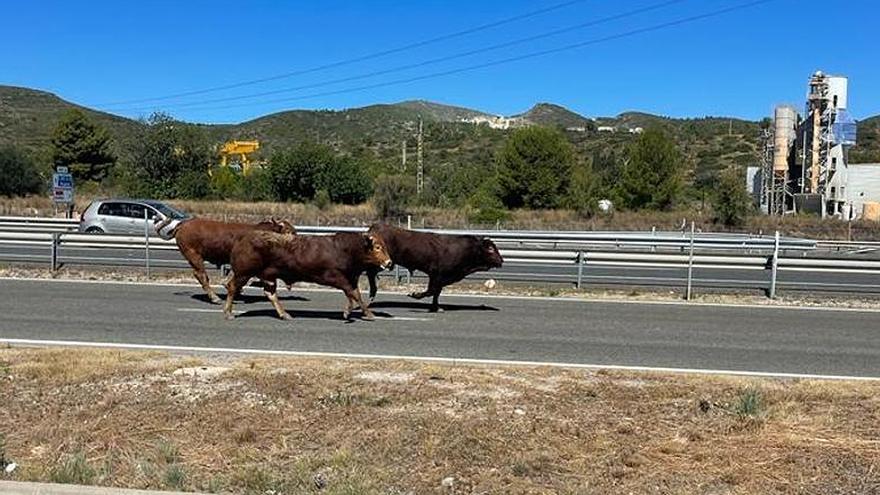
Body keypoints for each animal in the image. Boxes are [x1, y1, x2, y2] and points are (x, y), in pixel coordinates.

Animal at [225, 232, 390, 322]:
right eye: (377, 247)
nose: (389, 262)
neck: (345, 250)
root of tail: (242, 239)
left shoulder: (351, 278)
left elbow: (356, 294)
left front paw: (368, 313)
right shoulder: (335, 276)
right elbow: (351, 293)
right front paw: (348, 311)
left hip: (268, 276)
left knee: (270, 294)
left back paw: (285, 314)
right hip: (243, 273)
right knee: (232, 286)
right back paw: (228, 313)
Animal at [364, 224, 502, 312]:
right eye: (490, 248)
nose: (501, 260)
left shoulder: (441, 277)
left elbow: (436, 292)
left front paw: (436, 307)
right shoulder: (436, 274)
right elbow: (431, 290)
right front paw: (415, 294)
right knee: (370, 273)